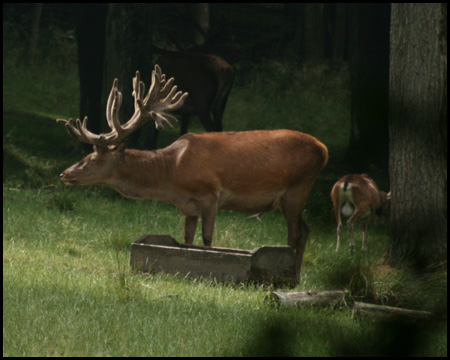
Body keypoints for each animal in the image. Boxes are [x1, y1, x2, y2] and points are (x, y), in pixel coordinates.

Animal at [58, 65, 328, 284]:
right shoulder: (188, 206)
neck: (172, 172)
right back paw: (297, 277)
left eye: (92, 158)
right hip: (289, 198)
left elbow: (207, 239)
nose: (64, 173)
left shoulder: (210, 193)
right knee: (305, 231)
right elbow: (187, 240)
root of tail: (323, 150)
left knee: (294, 234)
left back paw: (290, 278)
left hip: (297, 188)